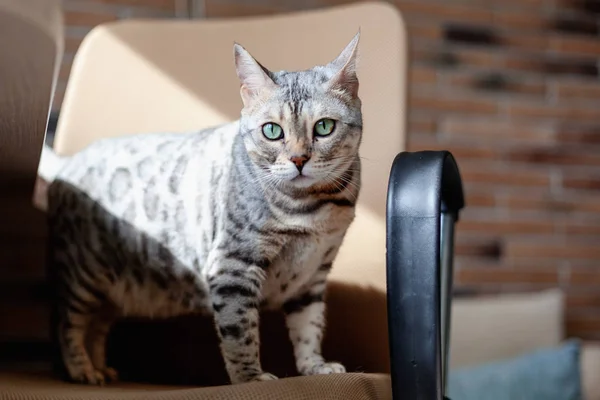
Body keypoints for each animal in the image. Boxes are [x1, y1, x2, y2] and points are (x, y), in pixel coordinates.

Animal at [39, 32, 364, 386]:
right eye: (272, 131)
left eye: (324, 127)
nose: (299, 159)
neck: (313, 209)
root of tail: (67, 162)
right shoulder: (233, 266)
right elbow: (240, 332)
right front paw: (250, 377)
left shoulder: (312, 276)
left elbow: (309, 328)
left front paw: (314, 366)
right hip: (82, 273)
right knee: (66, 322)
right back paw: (82, 369)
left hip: (112, 290)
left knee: (96, 327)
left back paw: (101, 369)